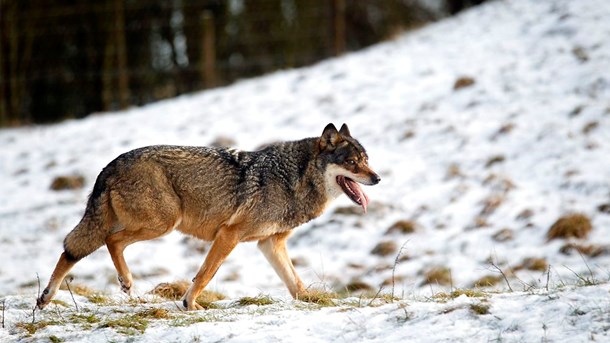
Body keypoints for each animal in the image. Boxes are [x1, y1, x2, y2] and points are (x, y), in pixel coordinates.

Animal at [35, 123, 378, 312]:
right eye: (352, 162)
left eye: (366, 160)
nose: (377, 178)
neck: (293, 179)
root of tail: (111, 164)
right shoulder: (229, 234)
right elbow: (205, 274)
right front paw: (189, 304)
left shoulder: (270, 244)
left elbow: (296, 284)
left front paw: (313, 301)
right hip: (162, 223)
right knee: (109, 241)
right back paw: (126, 281)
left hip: (139, 223)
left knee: (73, 249)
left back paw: (46, 298)